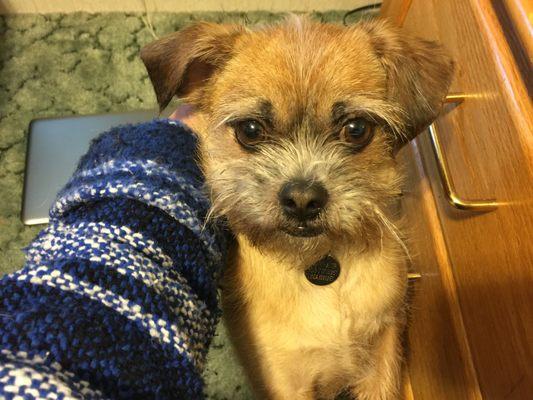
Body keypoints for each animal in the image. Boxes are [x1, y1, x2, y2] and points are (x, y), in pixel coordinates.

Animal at [140, 15, 454, 400]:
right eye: (250, 130)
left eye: (356, 129)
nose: (303, 200)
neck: (317, 265)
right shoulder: (285, 381)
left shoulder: (381, 358)